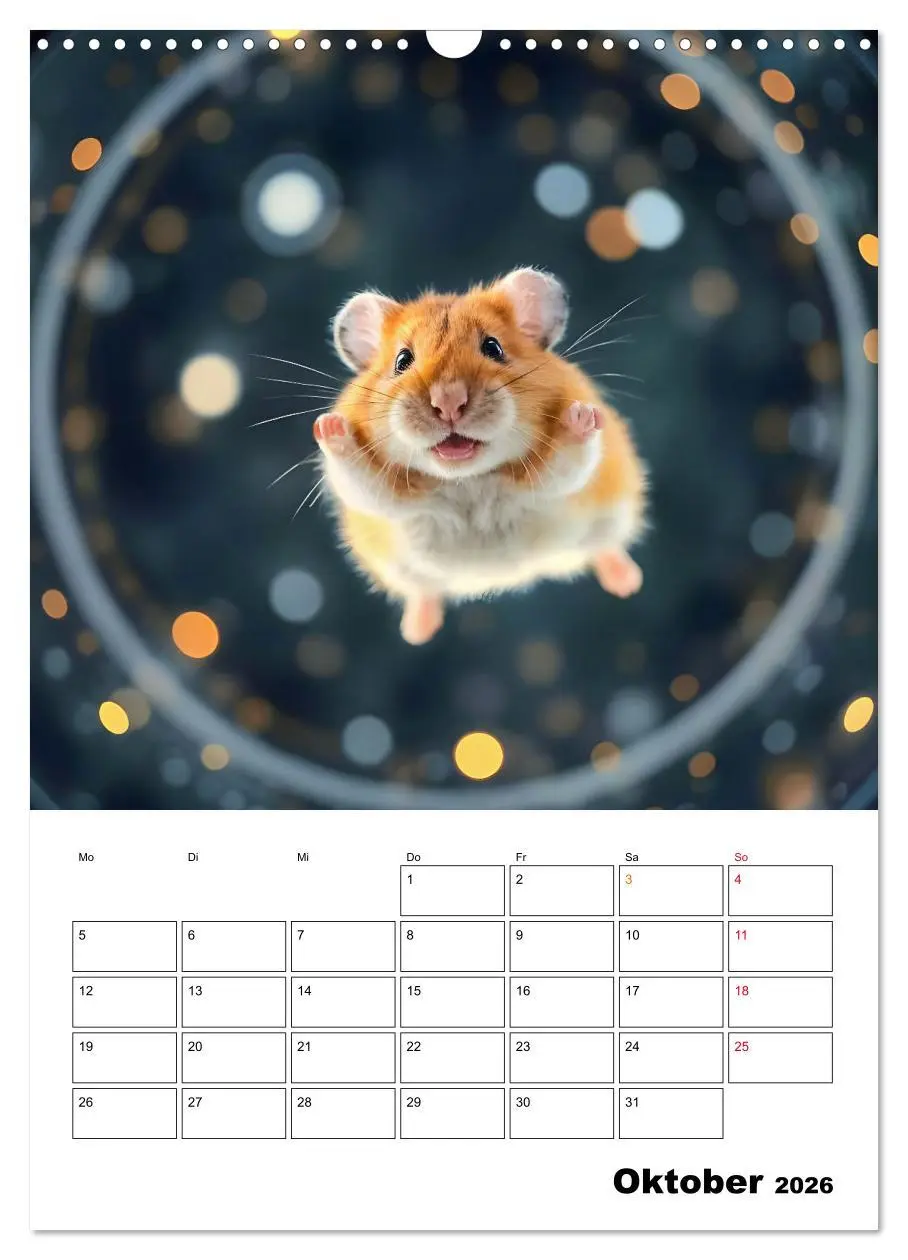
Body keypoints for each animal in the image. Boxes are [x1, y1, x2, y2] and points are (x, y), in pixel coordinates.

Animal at [314, 267, 647, 645]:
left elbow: (570, 459)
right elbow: (358, 476)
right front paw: (328, 426)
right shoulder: (381, 494)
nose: (448, 402)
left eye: (493, 347)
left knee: (605, 549)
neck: (467, 479)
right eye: (402, 361)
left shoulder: (556, 477)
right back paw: (416, 632)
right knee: (424, 592)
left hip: (608, 522)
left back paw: (627, 583)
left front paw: (581, 415)